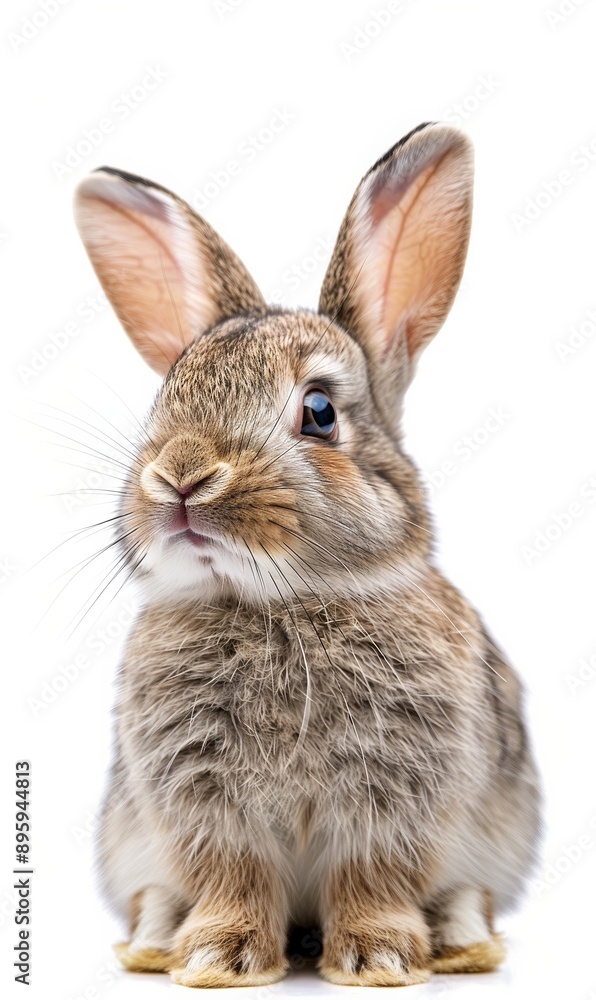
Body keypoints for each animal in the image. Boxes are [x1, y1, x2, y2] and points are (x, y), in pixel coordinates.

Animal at [73, 122, 541, 988]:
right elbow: (233, 876)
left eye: (319, 412)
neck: (280, 603)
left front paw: (380, 958)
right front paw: (217, 958)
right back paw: (153, 941)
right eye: (167, 395)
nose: (180, 475)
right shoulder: (201, 801)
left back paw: (463, 942)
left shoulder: (394, 796)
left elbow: (372, 877)